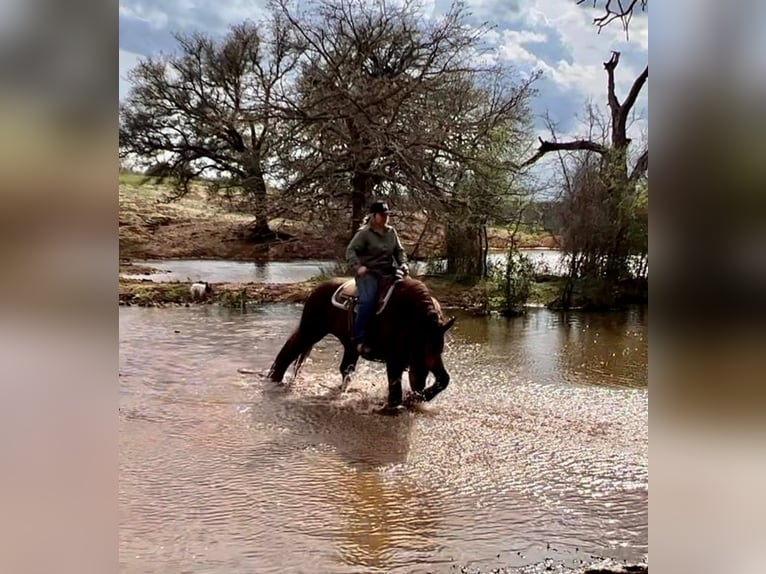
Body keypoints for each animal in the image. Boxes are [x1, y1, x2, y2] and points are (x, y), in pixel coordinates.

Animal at [268, 278, 456, 410]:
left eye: (437, 349)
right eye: (416, 348)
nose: (418, 385)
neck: (410, 318)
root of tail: (317, 289)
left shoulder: (433, 358)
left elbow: (444, 379)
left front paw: (420, 397)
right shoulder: (394, 359)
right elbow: (395, 390)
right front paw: (398, 405)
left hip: (348, 346)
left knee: (345, 368)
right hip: (311, 331)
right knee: (288, 352)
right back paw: (274, 379)